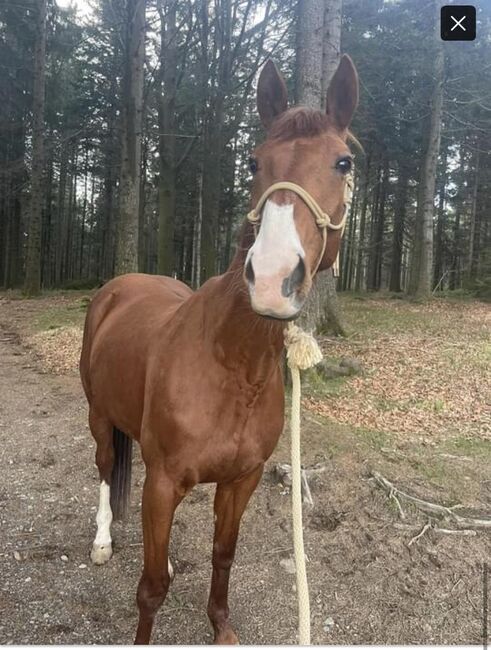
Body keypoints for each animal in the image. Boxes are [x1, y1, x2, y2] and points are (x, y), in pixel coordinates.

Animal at [80, 57, 358, 644]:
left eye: (342, 161)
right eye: (253, 161)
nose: (272, 278)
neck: (232, 366)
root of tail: (119, 286)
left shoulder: (241, 480)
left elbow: (223, 555)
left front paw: (221, 627)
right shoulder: (163, 482)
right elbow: (151, 588)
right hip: (99, 417)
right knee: (104, 469)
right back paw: (102, 541)